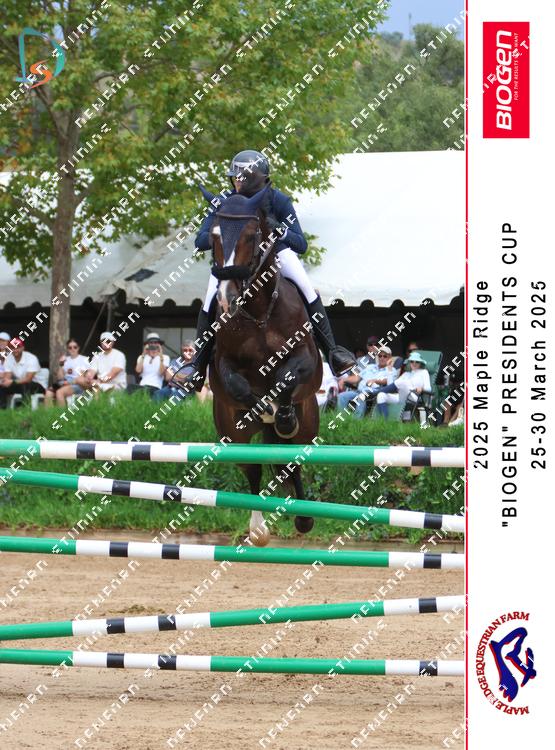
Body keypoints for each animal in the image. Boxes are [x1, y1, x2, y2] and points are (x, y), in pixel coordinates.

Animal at [199, 185, 322, 546]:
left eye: (252, 236)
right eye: (214, 236)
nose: (226, 297)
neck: (257, 312)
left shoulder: (306, 360)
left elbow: (287, 376)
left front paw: (281, 414)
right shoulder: (222, 369)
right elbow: (237, 383)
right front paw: (263, 406)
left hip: (309, 422)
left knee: (292, 460)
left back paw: (304, 519)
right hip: (230, 431)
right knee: (252, 466)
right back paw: (258, 529)